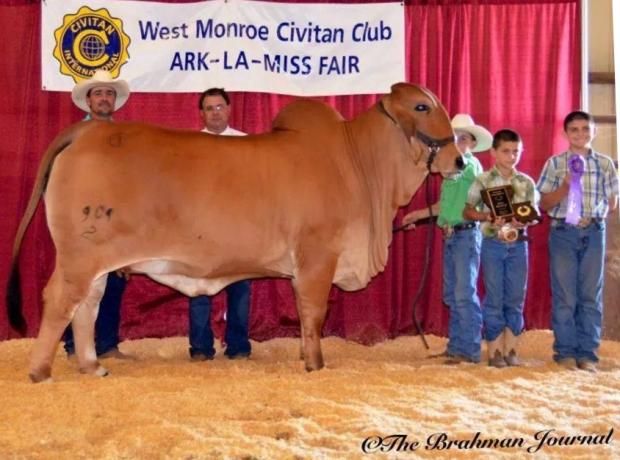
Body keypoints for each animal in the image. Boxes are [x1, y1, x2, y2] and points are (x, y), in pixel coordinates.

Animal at [4, 82, 460, 380]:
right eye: (422, 106)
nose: (457, 159)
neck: (358, 163)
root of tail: (89, 128)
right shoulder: (317, 256)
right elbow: (313, 311)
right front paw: (315, 364)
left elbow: (305, 313)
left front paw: (304, 355)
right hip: (79, 256)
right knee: (60, 301)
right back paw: (40, 371)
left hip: (95, 261)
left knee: (88, 305)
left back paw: (92, 365)